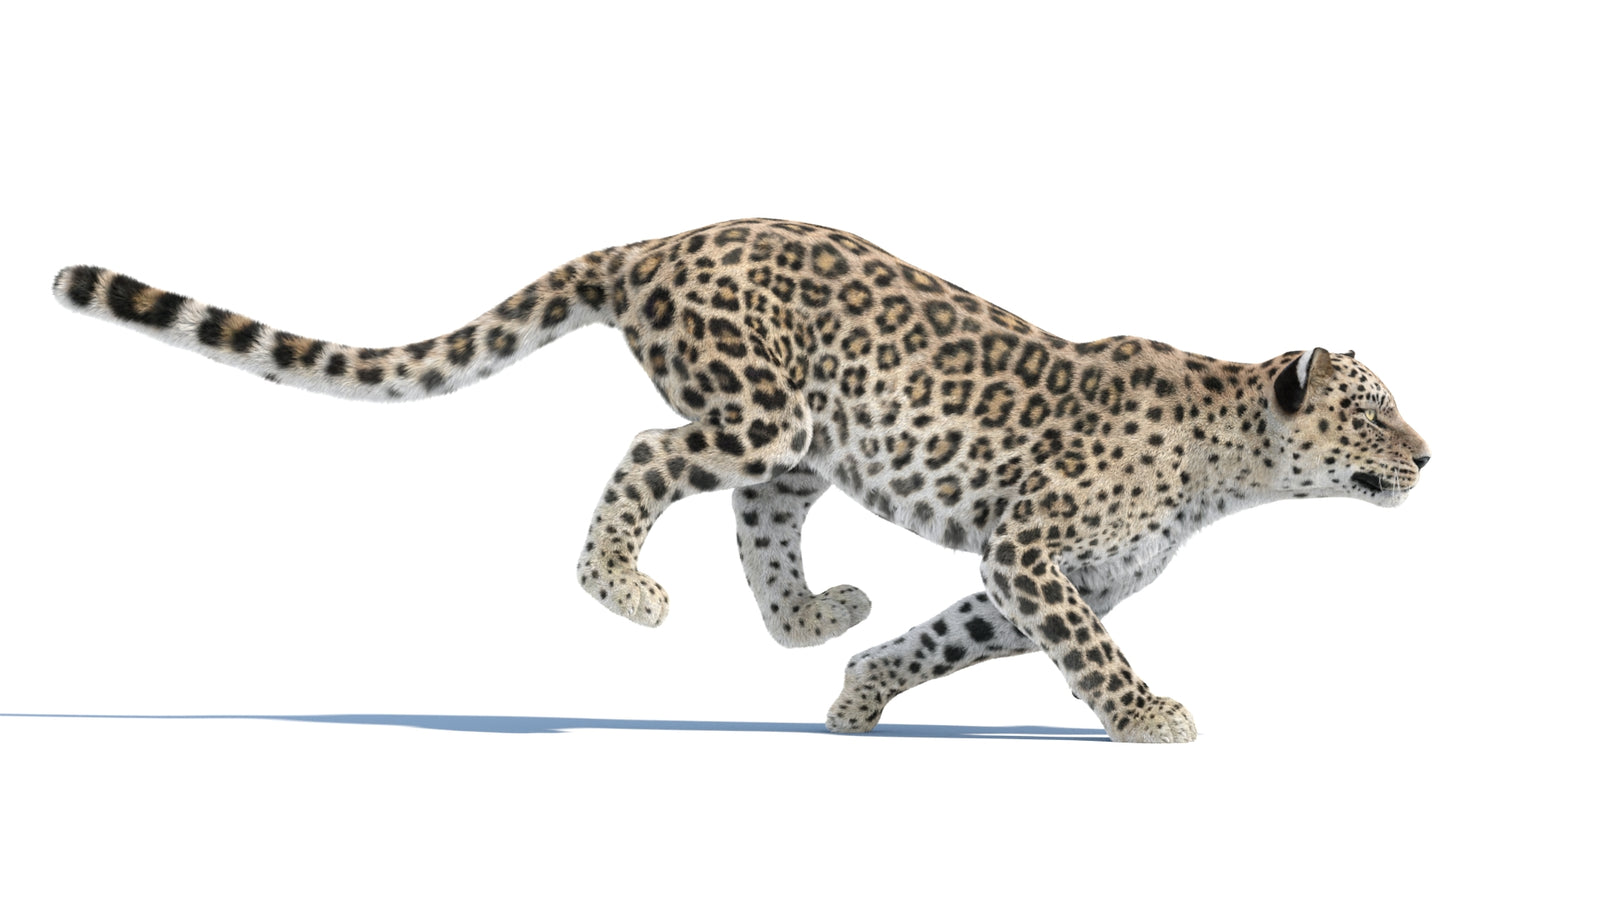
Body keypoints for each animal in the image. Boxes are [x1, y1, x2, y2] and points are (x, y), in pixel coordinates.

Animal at [53, 218, 1429, 743]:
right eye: (1374, 414)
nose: (1429, 456)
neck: (1233, 465)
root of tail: (653, 242)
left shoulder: (1028, 576)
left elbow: (947, 637)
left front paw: (863, 689)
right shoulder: (1034, 553)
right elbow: (1089, 657)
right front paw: (1148, 716)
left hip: (802, 448)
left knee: (760, 538)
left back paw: (822, 618)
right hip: (762, 413)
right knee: (648, 456)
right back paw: (625, 589)